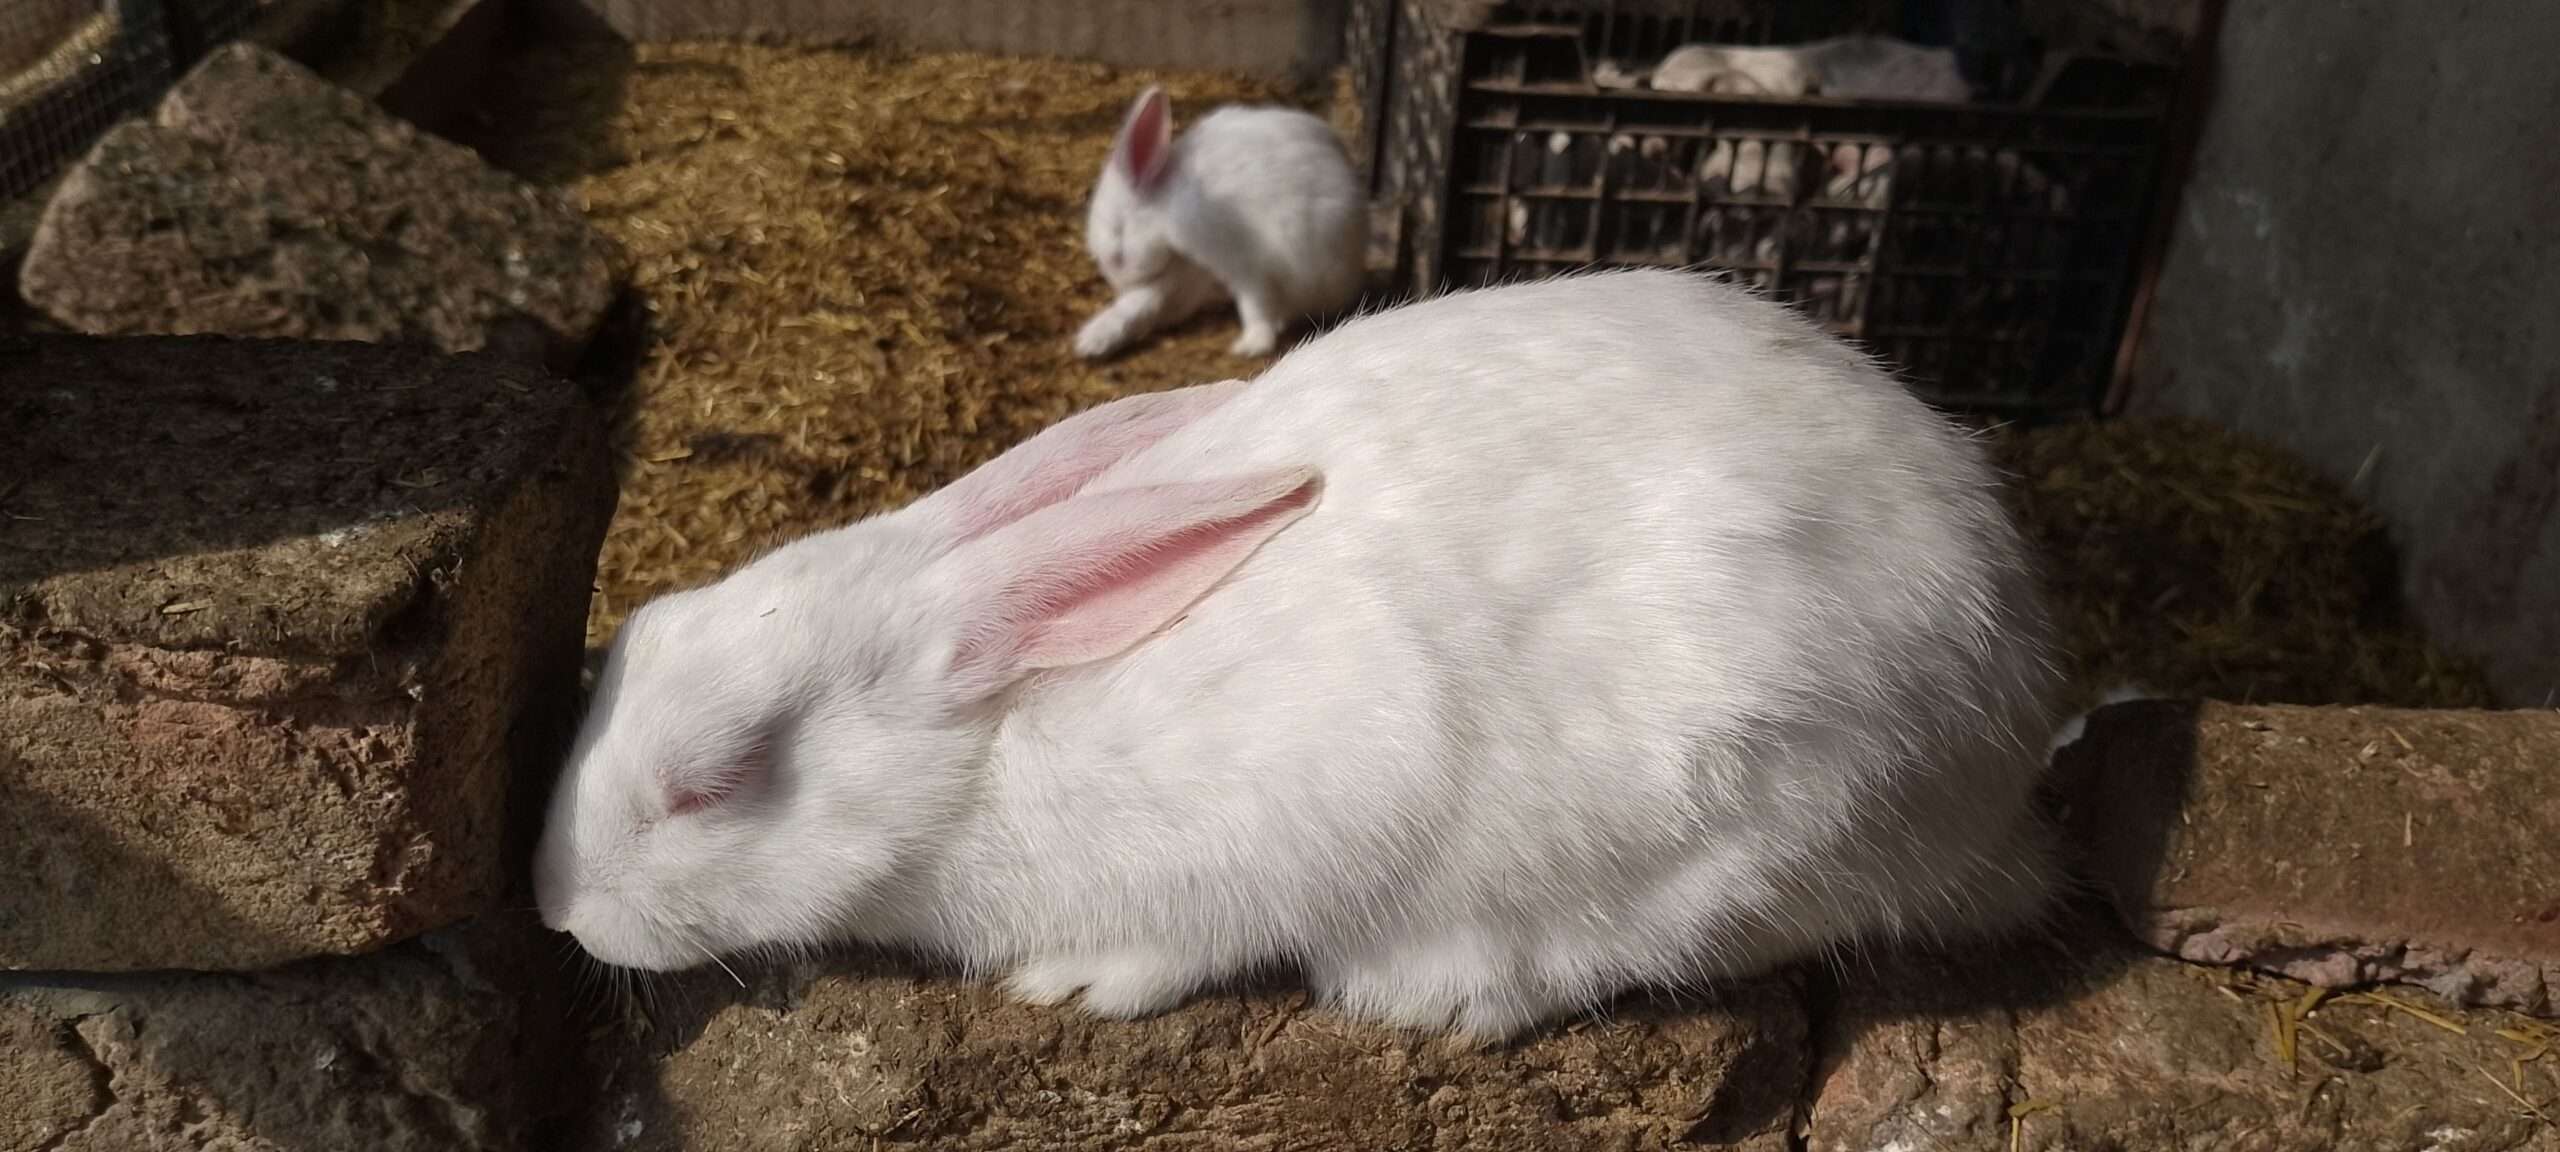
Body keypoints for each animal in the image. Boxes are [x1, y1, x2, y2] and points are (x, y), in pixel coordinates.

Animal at [534, 268, 2073, 1044]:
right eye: (631, 644)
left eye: (713, 782)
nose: (554, 908)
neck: (990, 749)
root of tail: (2008, 735)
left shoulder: (1293, 814)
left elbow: (1190, 941)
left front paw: (1072, 984)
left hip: (1749, 819)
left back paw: (1438, 991)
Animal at [1075, 86, 1366, 361]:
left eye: (1118, 234)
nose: (1121, 284)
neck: (1165, 211)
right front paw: (1094, 341)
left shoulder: (1246, 265)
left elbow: (1255, 306)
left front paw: (1250, 346)